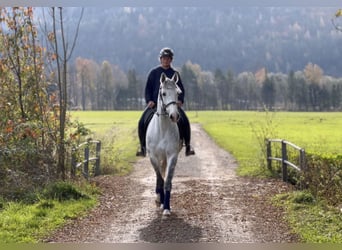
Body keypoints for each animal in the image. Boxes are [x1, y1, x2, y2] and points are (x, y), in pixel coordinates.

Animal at [146, 71, 184, 216]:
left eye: (178, 93)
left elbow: (167, 181)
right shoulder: (153, 157)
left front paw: (167, 207)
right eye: (163, 93)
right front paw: (161, 201)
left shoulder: (172, 156)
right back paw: (158, 198)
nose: (174, 116)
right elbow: (160, 179)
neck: (162, 129)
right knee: (159, 177)